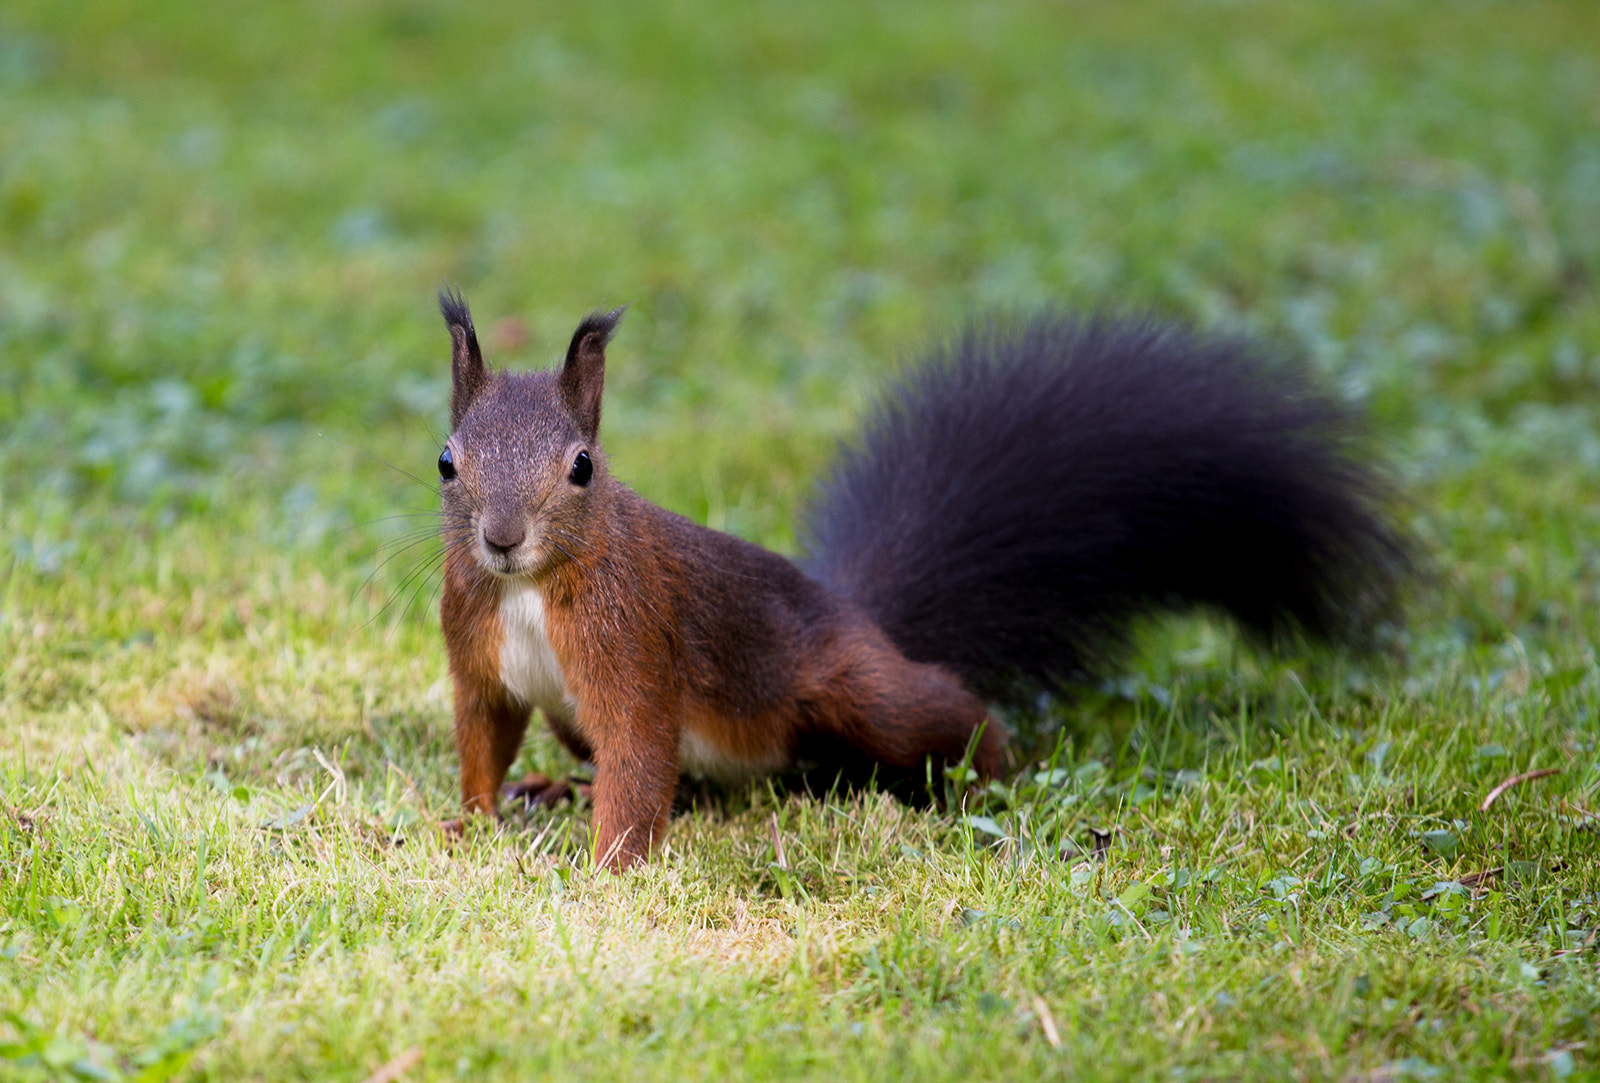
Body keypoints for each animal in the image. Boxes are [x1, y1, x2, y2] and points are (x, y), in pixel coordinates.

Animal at [432, 289, 1408, 870]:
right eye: (447, 460)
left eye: (583, 468)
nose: (502, 538)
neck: (531, 588)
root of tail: (862, 617)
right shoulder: (478, 652)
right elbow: (485, 729)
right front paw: (470, 819)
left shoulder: (633, 637)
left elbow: (638, 751)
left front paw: (606, 873)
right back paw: (558, 787)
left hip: (851, 690)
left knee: (942, 710)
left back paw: (986, 780)